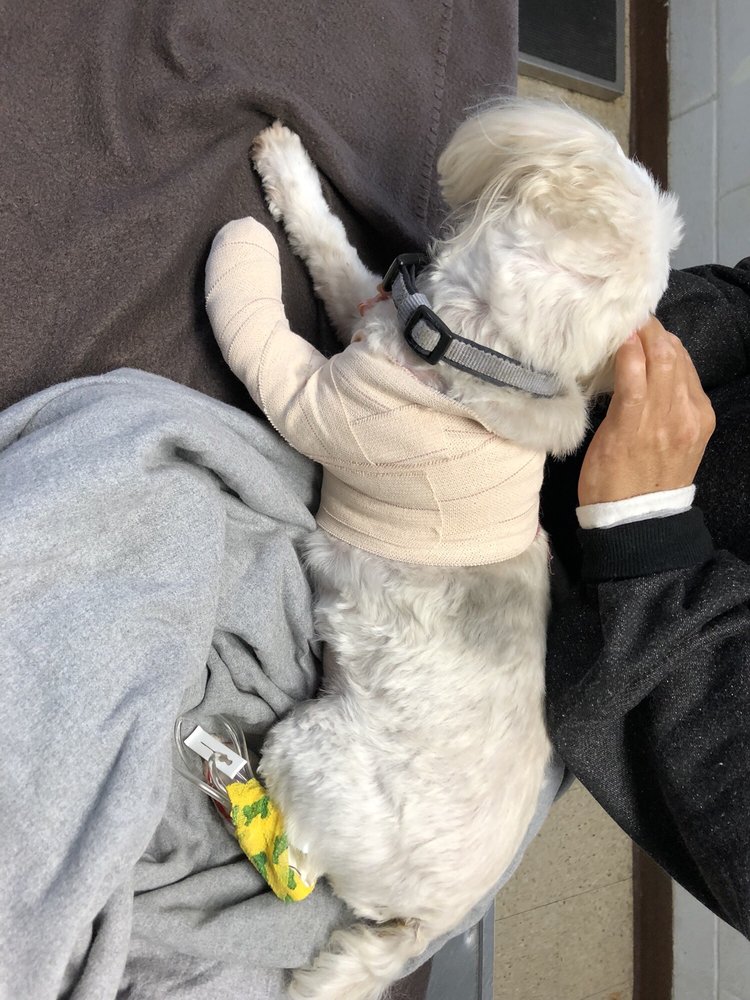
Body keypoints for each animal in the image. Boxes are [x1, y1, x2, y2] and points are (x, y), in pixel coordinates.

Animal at [204, 98, 682, 1000]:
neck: (489, 358)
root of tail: (432, 922)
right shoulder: (371, 309)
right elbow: (339, 256)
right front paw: (288, 168)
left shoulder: (326, 400)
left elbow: (281, 342)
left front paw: (241, 251)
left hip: (315, 754)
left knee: (298, 852)